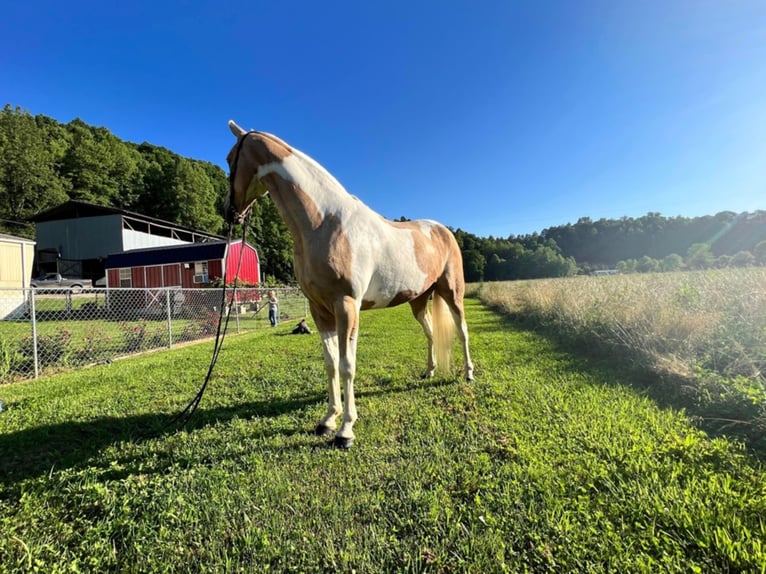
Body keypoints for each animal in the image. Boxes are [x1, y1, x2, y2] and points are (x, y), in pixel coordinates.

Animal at [225, 121, 474, 450]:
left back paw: (468, 374)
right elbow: (331, 363)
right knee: (431, 333)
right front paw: (328, 421)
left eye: (230, 159)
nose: (229, 212)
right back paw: (429, 371)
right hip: (419, 300)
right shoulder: (320, 310)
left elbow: (347, 365)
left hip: (452, 293)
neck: (324, 223)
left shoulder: (346, 305)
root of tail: (443, 230)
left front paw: (346, 430)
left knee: (462, 330)